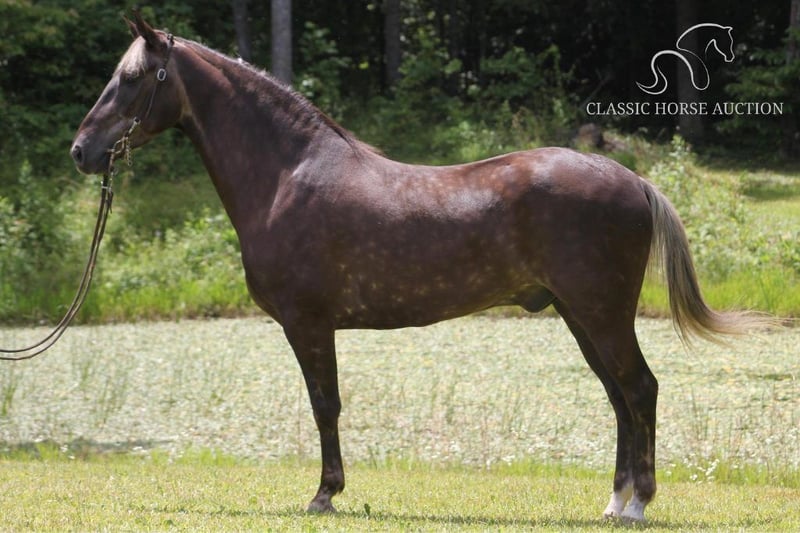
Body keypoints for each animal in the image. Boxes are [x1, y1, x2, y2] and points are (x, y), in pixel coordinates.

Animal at [70, 14, 761, 522]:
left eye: (134, 77)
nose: (82, 151)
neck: (287, 174)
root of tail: (632, 179)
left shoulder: (308, 323)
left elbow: (325, 404)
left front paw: (324, 494)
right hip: (580, 315)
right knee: (619, 396)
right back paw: (615, 501)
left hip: (602, 312)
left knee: (639, 389)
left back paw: (638, 503)